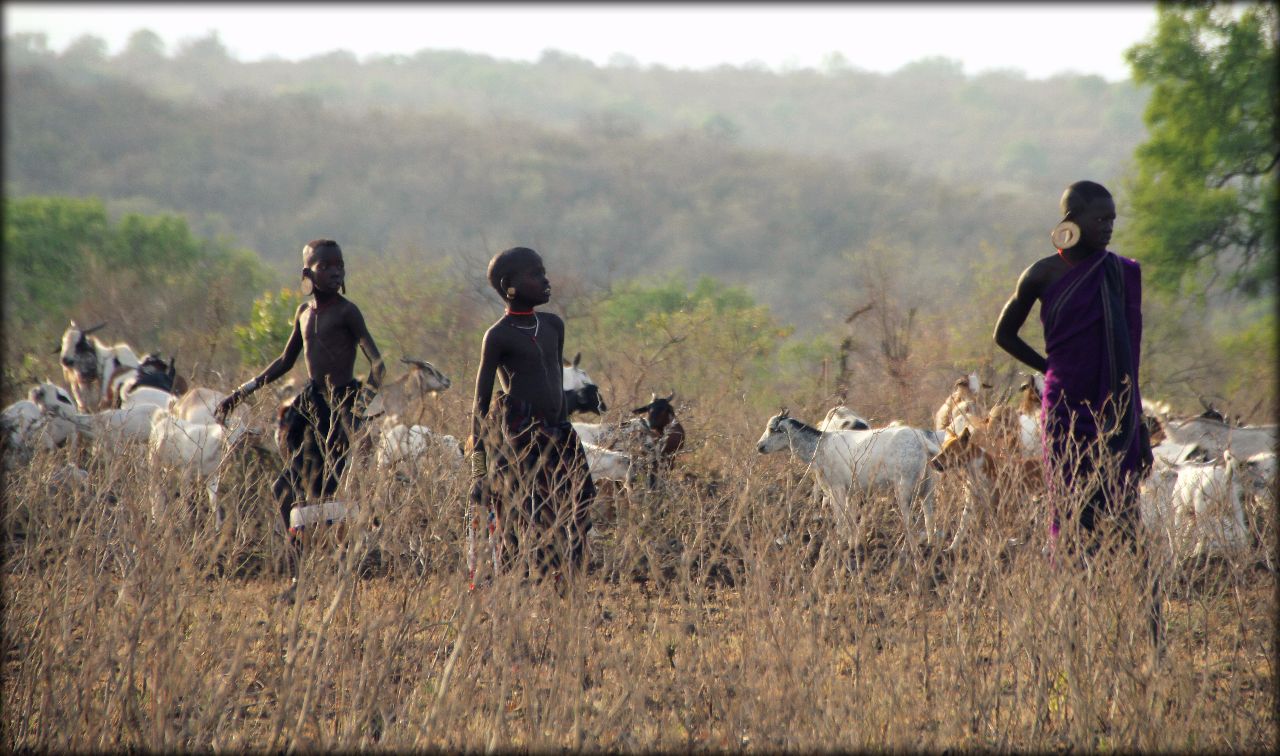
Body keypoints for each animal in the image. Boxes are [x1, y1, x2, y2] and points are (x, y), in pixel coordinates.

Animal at [752, 409, 936, 550]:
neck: (820, 446)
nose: (759, 446)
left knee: (909, 520)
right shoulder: (849, 491)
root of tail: (922, 441)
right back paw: (932, 545)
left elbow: (841, 518)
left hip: (905, 487)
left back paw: (910, 548)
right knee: (929, 517)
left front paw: (842, 544)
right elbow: (851, 518)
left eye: (772, 429)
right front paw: (854, 544)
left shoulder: (837, 488)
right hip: (927, 486)